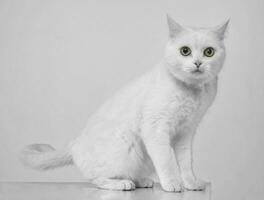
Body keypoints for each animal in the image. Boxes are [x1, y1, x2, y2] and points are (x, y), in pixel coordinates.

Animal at [20, 14, 228, 192]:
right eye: (185, 51)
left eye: (209, 52)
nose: (198, 63)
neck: (192, 91)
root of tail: (74, 144)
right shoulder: (155, 129)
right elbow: (166, 161)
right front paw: (172, 184)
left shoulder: (186, 133)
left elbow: (186, 162)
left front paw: (191, 183)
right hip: (125, 147)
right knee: (97, 179)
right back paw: (122, 184)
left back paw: (142, 181)